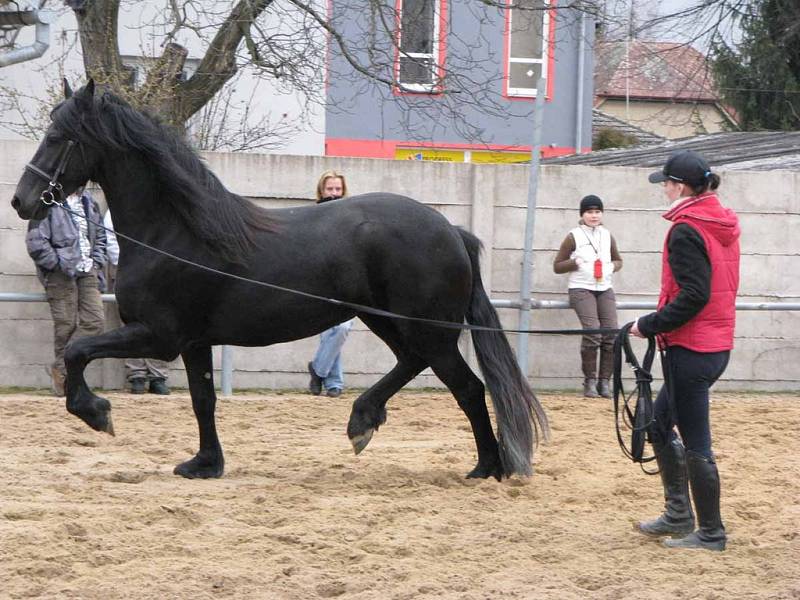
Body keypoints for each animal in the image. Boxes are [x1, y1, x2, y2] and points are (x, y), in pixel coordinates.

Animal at [10, 82, 552, 480]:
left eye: (58, 136)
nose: (22, 200)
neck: (176, 231)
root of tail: (451, 230)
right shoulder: (194, 342)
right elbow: (203, 401)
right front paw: (205, 464)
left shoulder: (160, 336)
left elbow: (77, 350)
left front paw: (96, 412)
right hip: (389, 322)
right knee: (414, 365)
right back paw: (366, 421)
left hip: (427, 329)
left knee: (468, 387)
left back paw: (485, 467)